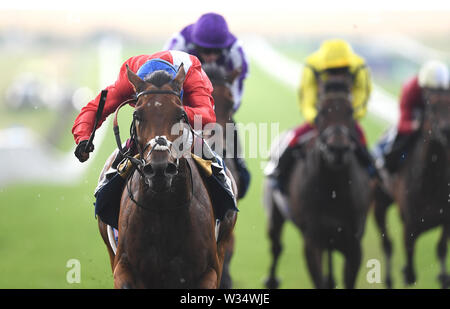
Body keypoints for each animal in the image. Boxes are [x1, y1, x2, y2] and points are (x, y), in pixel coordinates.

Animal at [97, 63, 239, 288]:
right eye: (137, 115)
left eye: (180, 115)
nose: (159, 168)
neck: (162, 209)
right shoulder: (123, 267)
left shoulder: (209, 271)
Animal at [264, 73, 372, 288]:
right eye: (321, 111)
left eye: (350, 111)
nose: (337, 149)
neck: (334, 190)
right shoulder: (313, 241)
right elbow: (319, 279)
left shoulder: (353, 245)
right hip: (275, 211)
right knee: (276, 245)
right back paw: (271, 279)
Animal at [372, 88, 450, 288]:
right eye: (432, 106)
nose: (446, 131)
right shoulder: (410, 225)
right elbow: (409, 273)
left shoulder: (445, 220)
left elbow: (441, 250)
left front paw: (442, 276)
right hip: (379, 204)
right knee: (387, 244)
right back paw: (389, 279)